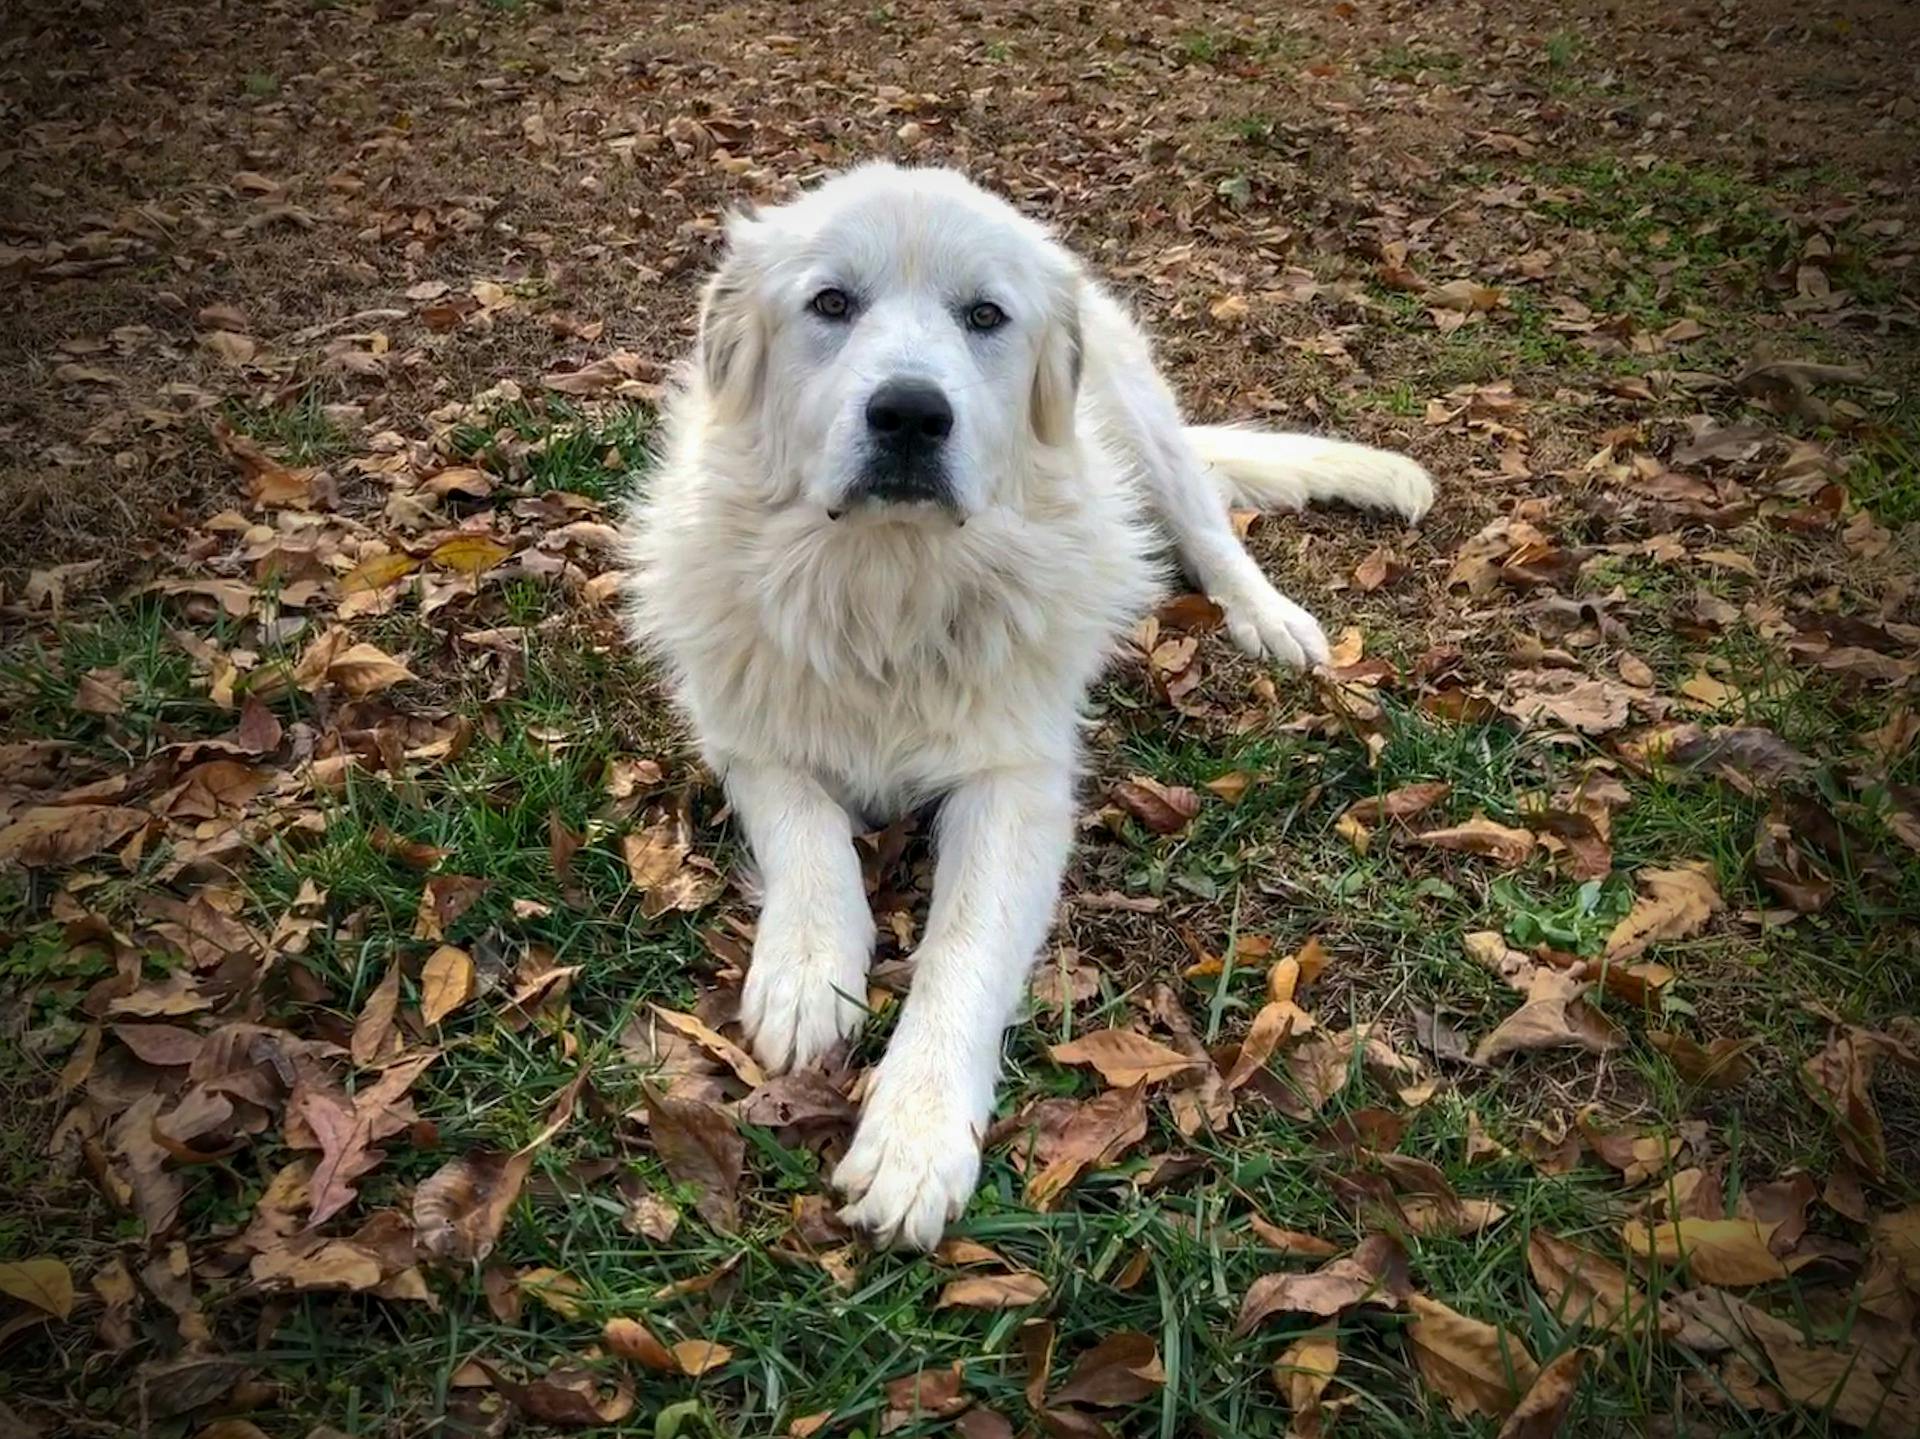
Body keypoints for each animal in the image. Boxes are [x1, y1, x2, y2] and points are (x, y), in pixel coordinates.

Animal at [622, 160, 1436, 1244]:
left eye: (985, 315)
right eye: (831, 303)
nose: (911, 415)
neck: (887, 583)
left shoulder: (1014, 786)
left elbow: (962, 952)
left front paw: (916, 1134)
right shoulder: (746, 728)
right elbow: (805, 830)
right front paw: (806, 967)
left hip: (1146, 430)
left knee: (1210, 532)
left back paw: (1270, 618)